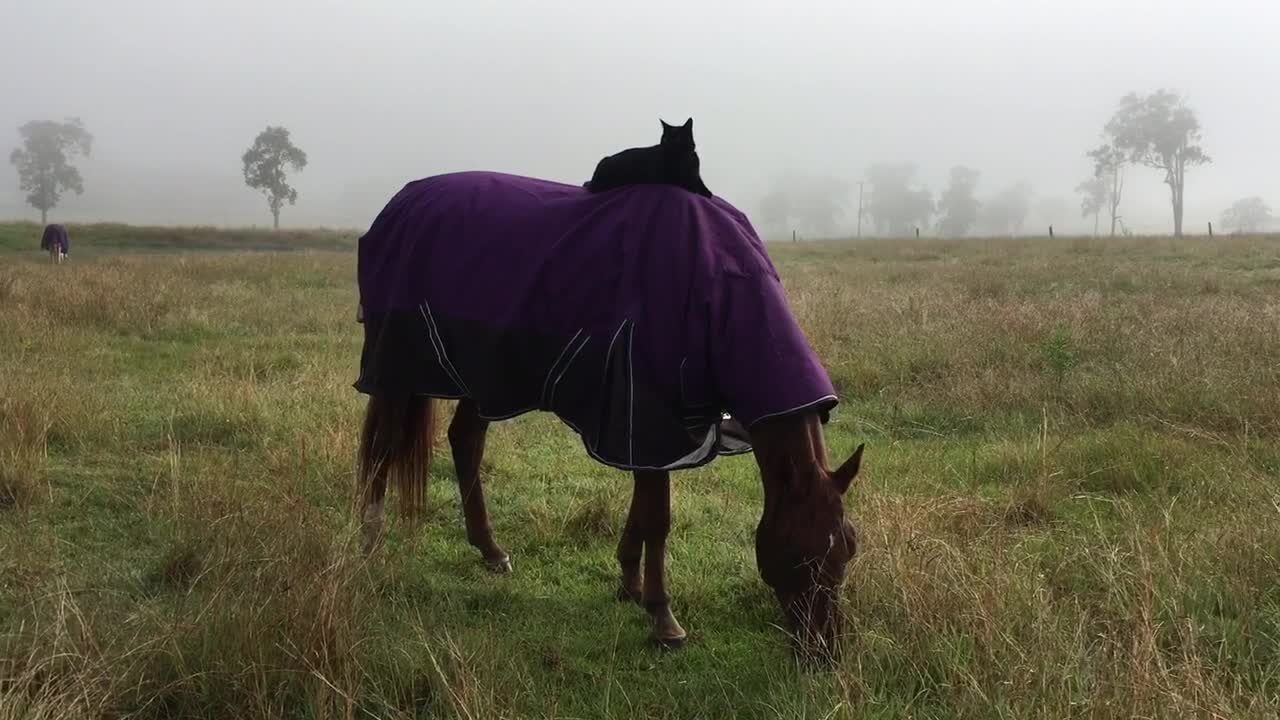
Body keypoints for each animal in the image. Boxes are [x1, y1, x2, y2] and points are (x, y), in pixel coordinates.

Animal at [355, 170, 865, 661]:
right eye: (799, 555)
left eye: (849, 547)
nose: (825, 651)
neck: (714, 284)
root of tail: (404, 202)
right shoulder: (648, 413)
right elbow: (658, 516)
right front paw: (663, 619)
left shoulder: (652, 426)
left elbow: (643, 504)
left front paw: (630, 583)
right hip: (397, 371)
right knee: (382, 449)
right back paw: (370, 546)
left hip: (482, 375)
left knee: (465, 442)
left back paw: (490, 550)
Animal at [586, 117, 716, 197]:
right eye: (665, 138)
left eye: (678, 138)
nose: (668, 144)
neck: (685, 158)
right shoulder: (672, 177)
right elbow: (691, 184)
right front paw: (696, 189)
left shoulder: (696, 172)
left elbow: (700, 182)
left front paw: (707, 192)